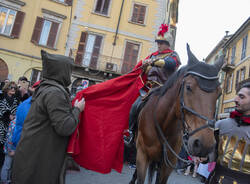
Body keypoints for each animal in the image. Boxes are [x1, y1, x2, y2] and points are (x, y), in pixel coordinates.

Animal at [132, 45, 224, 184]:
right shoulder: (142, 155)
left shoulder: (167, 165)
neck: (163, 124)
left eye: (219, 93)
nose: (204, 144)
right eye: (188, 87)